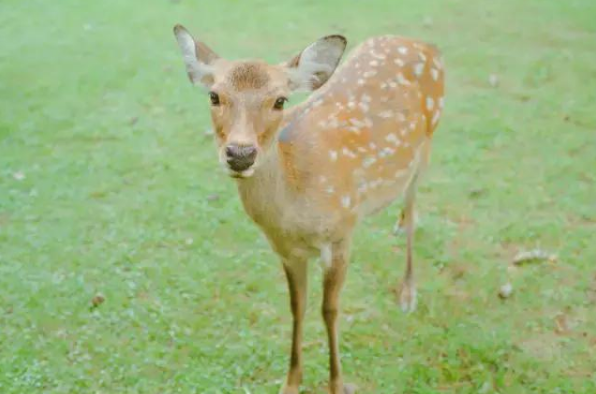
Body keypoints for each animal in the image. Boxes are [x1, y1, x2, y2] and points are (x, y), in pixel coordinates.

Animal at [172, 24, 442, 394]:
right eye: (213, 95)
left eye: (280, 100)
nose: (240, 154)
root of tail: (426, 46)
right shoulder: (287, 252)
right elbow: (297, 307)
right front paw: (291, 382)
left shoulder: (342, 235)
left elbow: (330, 310)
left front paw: (337, 383)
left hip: (427, 144)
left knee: (414, 209)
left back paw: (408, 292)